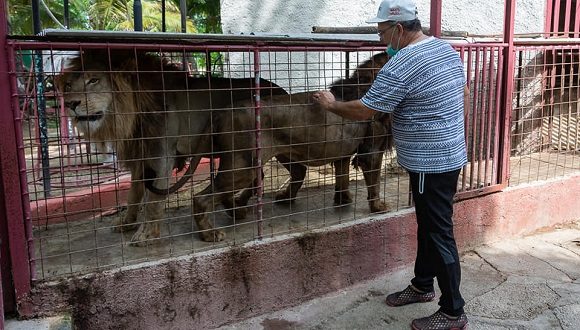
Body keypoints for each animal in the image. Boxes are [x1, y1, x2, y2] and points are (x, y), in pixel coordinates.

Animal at [55, 49, 286, 245]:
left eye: (93, 80)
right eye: (69, 86)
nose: (71, 104)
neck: (134, 111)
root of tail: (278, 87)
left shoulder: (162, 156)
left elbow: (152, 201)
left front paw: (146, 235)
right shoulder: (142, 156)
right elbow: (133, 194)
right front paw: (126, 222)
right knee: (255, 177)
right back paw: (235, 208)